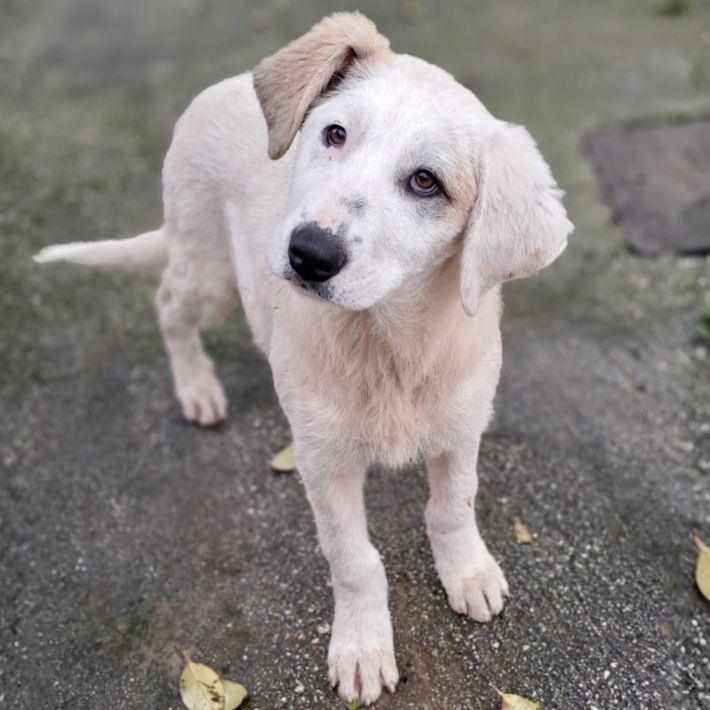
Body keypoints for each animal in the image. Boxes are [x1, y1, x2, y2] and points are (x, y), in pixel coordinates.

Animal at [34, 12, 573, 705]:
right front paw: (363, 647)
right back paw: (197, 387)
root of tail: (230, 82)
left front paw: (468, 571)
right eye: (334, 134)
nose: (308, 254)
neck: (387, 341)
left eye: (427, 181)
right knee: (169, 306)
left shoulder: (460, 428)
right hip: (208, 266)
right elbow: (355, 560)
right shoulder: (324, 461)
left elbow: (453, 507)